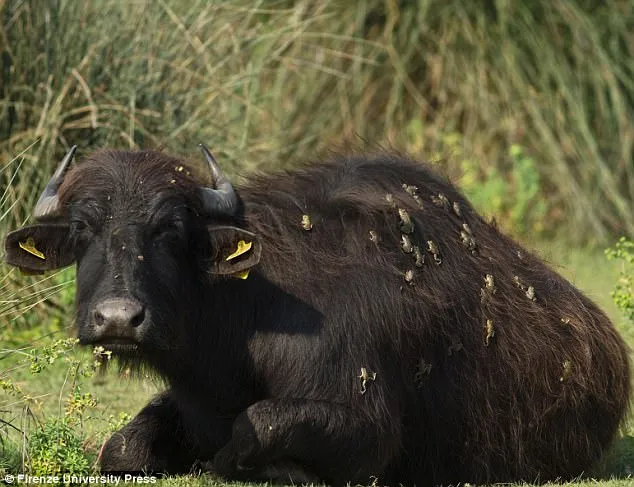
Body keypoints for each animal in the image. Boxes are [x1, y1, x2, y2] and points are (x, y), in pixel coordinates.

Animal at [2, 147, 628, 486]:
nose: (118, 319)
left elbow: (252, 428)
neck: (246, 316)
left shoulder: (366, 429)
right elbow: (122, 448)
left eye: (171, 229)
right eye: (83, 229)